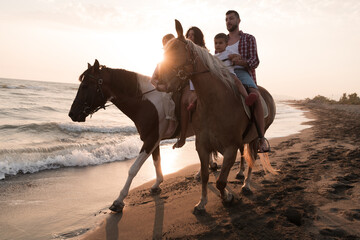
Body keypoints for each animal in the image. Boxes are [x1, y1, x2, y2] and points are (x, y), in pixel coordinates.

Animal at [156, 20, 278, 212]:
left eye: (175, 50)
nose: (156, 80)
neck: (214, 103)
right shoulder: (202, 146)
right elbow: (206, 176)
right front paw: (202, 203)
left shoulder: (230, 148)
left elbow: (221, 181)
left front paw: (227, 197)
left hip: (255, 138)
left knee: (252, 159)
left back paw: (246, 185)